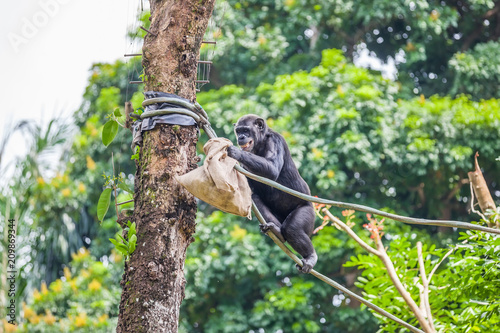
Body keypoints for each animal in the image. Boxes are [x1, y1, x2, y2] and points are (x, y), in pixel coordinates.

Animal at [227, 114, 316, 272]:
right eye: (238, 131)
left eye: (246, 130)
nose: (241, 137)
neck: (259, 143)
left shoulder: (275, 141)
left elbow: (272, 168)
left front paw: (236, 152)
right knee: (256, 199)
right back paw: (277, 232)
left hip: (308, 212)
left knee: (292, 228)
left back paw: (310, 256)